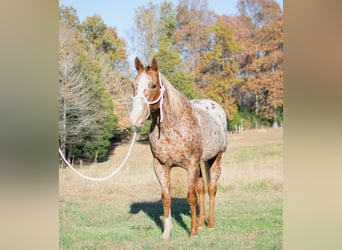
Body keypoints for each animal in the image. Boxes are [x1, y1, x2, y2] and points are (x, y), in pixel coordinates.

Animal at [129, 57, 227, 239]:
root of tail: (215, 107)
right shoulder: (160, 166)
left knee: (211, 189)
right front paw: (166, 233)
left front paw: (193, 232)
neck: (171, 128)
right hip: (200, 165)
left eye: (153, 85)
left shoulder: (191, 165)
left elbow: (191, 197)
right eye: (134, 85)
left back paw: (210, 223)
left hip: (215, 158)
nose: (135, 118)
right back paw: (201, 221)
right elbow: (166, 197)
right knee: (202, 189)